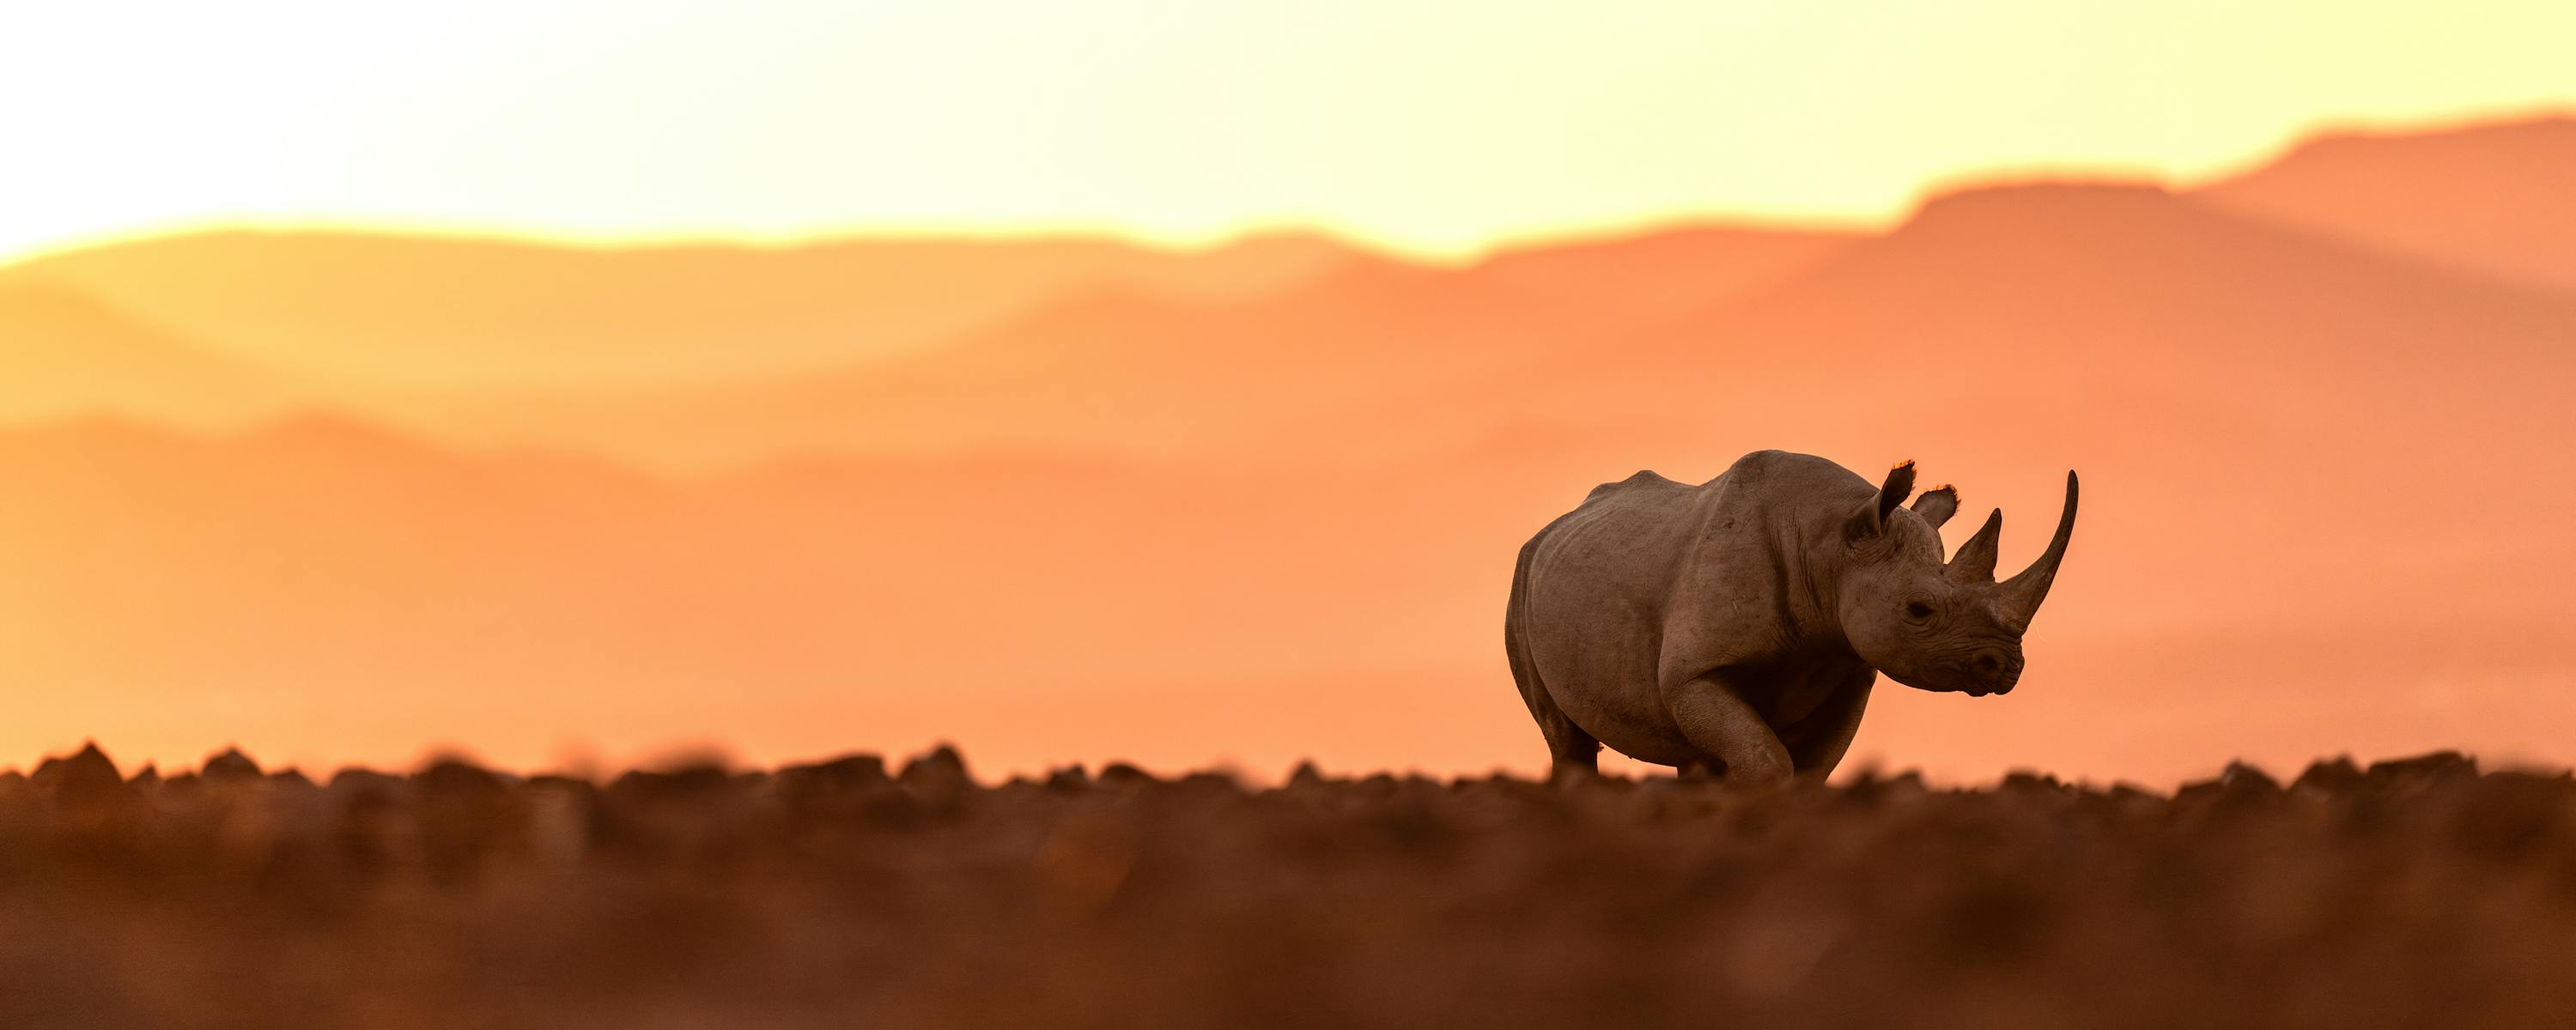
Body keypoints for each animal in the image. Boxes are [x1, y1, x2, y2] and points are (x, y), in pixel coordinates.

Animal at [1504, 450, 2076, 784]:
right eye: (1919, 610)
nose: (2004, 666)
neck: (1832, 546)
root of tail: (1551, 529)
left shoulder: (1848, 664)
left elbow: (1809, 771)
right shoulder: (1696, 670)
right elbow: (1767, 760)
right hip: (1521, 580)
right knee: (1565, 738)